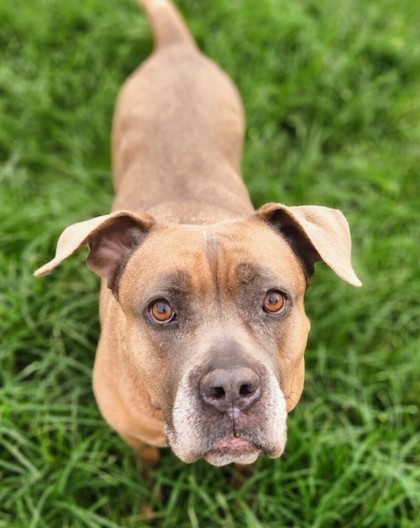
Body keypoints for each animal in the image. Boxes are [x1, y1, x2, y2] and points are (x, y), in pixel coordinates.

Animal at [34, 0, 360, 466]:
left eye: (274, 300)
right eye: (161, 309)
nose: (232, 389)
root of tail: (175, 47)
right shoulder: (133, 437)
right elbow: (146, 470)